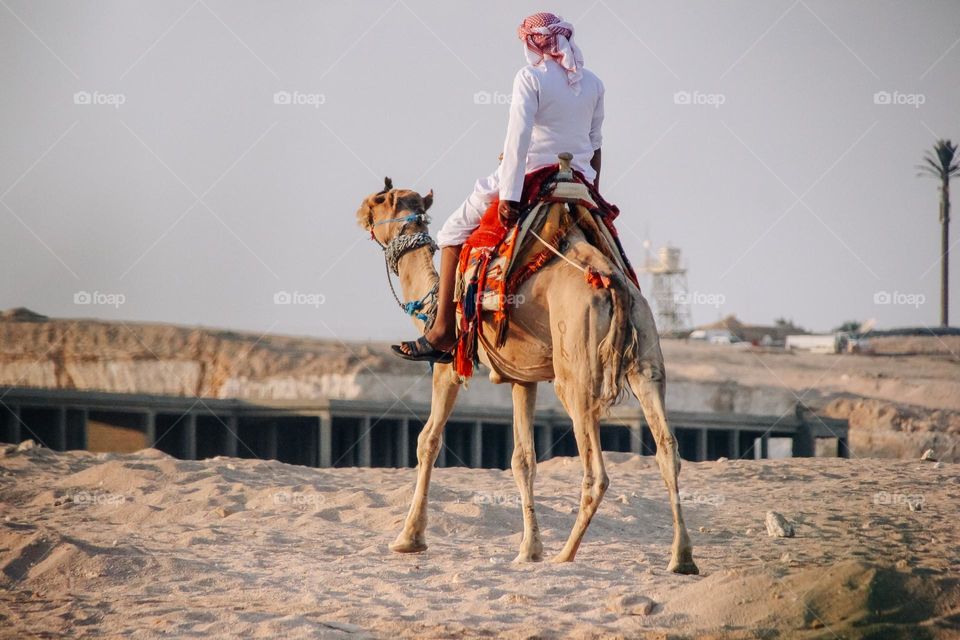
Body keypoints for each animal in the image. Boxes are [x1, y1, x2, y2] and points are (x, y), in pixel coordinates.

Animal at [356, 175, 700, 576]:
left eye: (380, 199)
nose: (360, 210)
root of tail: (612, 283)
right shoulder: (523, 377)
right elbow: (523, 460)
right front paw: (528, 549)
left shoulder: (447, 368)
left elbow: (428, 440)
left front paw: (408, 539)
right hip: (646, 360)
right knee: (668, 450)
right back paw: (681, 557)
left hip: (575, 375)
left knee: (596, 471)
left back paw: (565, 554)